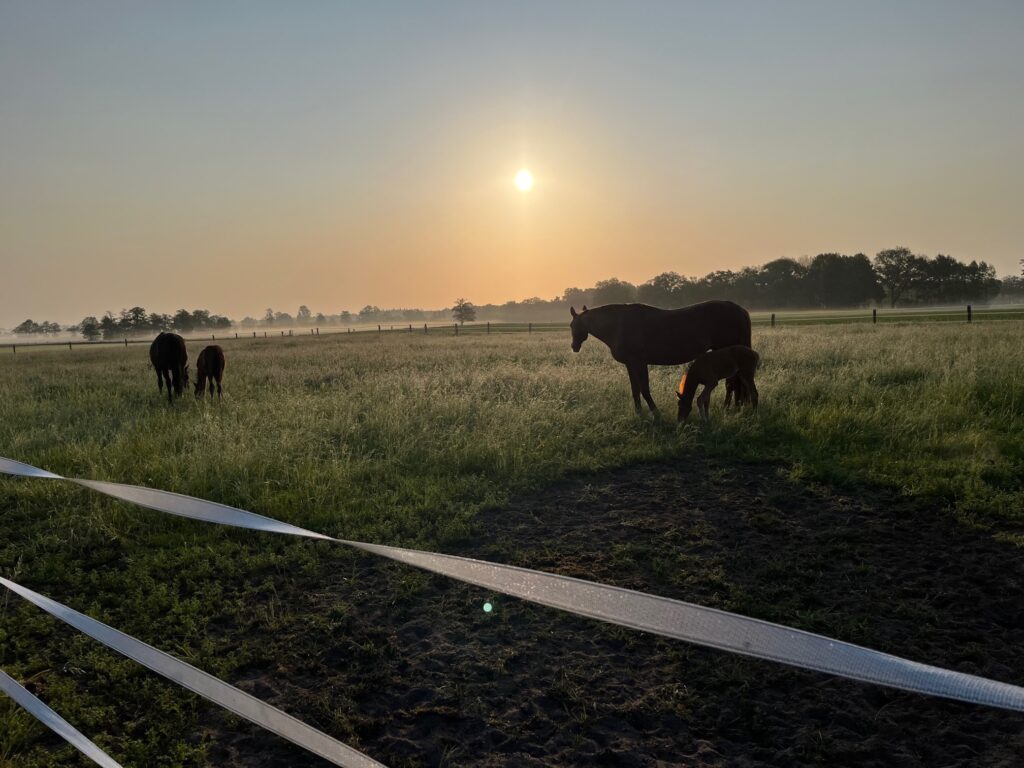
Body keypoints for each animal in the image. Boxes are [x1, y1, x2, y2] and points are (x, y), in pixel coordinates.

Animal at [569, 299, 753, 415]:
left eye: (572, 325)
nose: (574, 346)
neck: (619, 325)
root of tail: (740, 310)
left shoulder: (639, 362)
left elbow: (644, 389)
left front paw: (656, 413)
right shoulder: (630, 364)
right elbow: (635, 390)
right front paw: (639, 413)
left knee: (732, 383)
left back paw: (728, 408)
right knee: (736, 383)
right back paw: (734, 407)